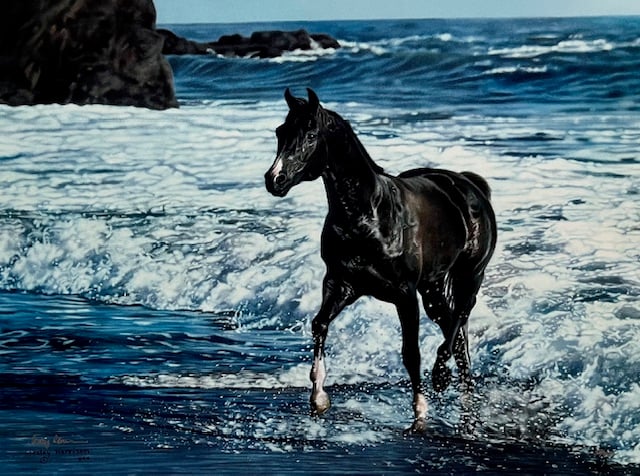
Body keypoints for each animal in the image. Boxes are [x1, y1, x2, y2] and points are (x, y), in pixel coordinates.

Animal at [264, 88, 497, 432]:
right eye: (281, 132)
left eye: (310, 135)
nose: (274, 180)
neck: (370, 215)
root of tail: (470, 185)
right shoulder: (341, 284)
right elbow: (319, 324)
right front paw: (318, 399)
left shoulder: (404, 294)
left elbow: (411, 352)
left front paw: (420, 413)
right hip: (432, 288)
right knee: (454, 332)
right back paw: (464, 403)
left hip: (468, 276)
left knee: (461, 317)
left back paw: (442, 378)